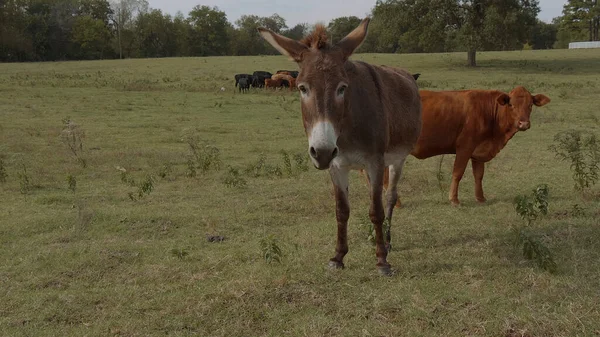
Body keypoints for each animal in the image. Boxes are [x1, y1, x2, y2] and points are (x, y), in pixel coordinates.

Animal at [372, 86, 552, 206]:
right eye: (511, 105)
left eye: (530, 105)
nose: (524, 123)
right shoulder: (464, 147)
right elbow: (457, 173)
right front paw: (454, 199)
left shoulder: (478, 151)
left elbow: (479, 175)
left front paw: (480, 198)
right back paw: (396, 203)